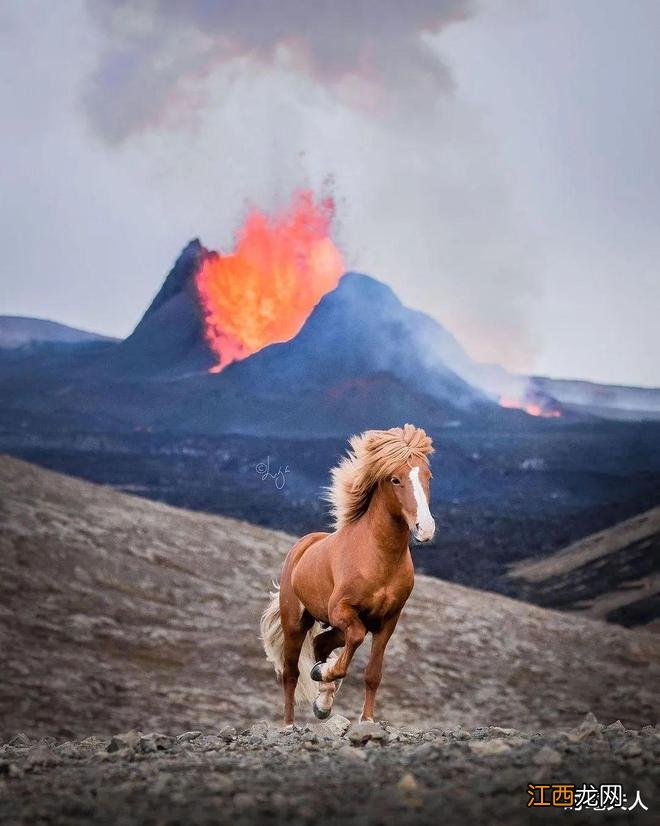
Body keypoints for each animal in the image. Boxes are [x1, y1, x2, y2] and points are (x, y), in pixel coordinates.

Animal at [260, 422, 436, 724]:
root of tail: (302, 546)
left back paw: (323, 701)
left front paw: (366, 720)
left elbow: (373, 674)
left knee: (321, 643)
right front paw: (323, 674)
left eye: (428, 477)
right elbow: (353, 639)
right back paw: (289, 723)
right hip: (295, 622)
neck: (378, 558)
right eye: (395, 479)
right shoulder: (341, 610)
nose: (425, 528)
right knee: (291, 673)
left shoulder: (387, 622)